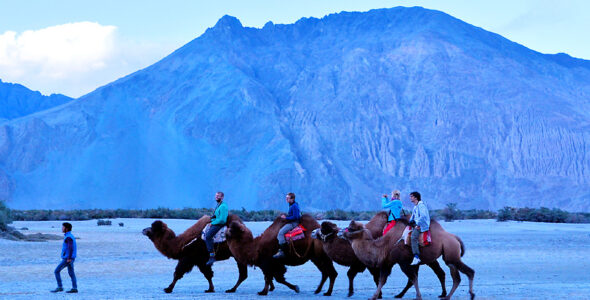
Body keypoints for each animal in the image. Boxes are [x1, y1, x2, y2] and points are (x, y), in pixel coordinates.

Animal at [346, 218, 476, 300]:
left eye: (351, 228)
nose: (342, 232)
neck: (384, 245)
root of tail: (455, 238)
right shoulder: (388, 262)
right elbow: (382, 280)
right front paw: (373, 296)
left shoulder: (403, 262)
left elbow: (413, 278)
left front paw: (418, 297)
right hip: (449, 257)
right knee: (456, 277)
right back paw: (447, 296)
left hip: (451, 253)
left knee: (469, 272)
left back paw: (471, 295)